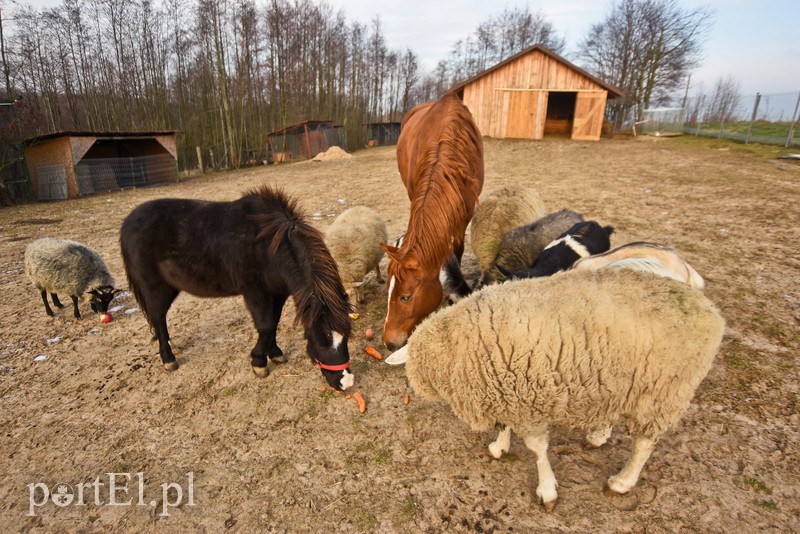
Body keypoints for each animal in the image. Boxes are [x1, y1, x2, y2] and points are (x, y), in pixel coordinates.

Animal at [119, 186, 354, 392]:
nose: (346, 383)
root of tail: (128, 223)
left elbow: (274, 322)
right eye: (319, 342)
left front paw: (274, 353)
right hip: (155, 287)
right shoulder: (255, 293)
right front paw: (259, 363)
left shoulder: (277, 294)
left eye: (346, 337)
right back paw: (168, 358)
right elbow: (266, 325)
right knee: (158, 317)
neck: (269, 246)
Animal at [388, 272, 724, 516]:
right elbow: (504, 425)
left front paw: (547, 490)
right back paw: (598, 435)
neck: (452, 346)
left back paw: (622, 482)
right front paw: (499, 447)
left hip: (663, 393)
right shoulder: (506, 392)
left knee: (644, 444)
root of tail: (710, 311)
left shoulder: (525, 400)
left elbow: (538, 450)